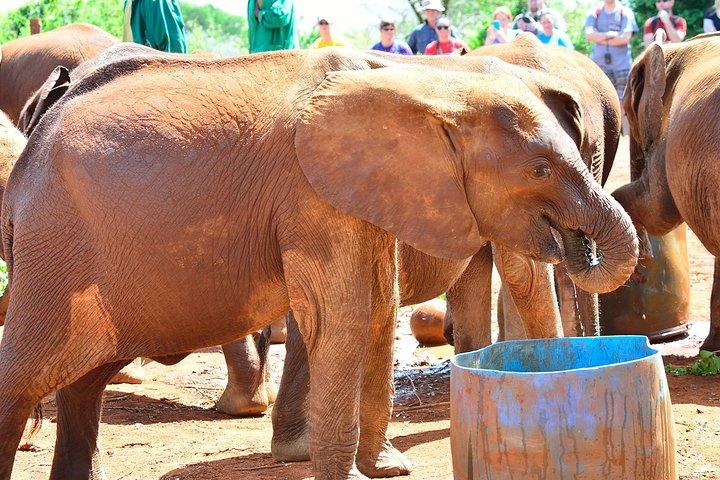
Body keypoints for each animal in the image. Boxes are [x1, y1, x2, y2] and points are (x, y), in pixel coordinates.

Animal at [0, 48, 638, 480]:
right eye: (539, 167)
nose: (579, 244)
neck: (428, 85)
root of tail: (32, 146)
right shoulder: (312, 195)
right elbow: (345, 315)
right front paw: (351, 474)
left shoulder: (366, 191)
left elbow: (377, 308)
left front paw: (386, 469)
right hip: (57, 249)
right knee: (26, 376)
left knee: (84, 382)